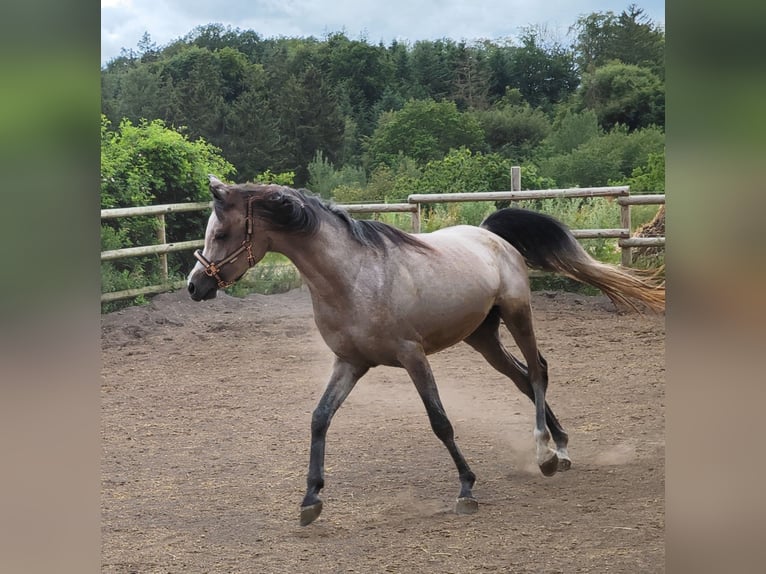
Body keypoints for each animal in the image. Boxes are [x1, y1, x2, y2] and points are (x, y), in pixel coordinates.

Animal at [188, 174, 664, 528]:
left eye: (222, 232)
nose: (196, 286)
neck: (353, 277)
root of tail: (489, 234)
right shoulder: (350, 363)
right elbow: (319, 418)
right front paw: (310, 500)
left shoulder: (412, 357)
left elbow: (440, 422)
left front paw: (467, 488)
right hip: (482, 337)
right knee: (522, 379)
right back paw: (559, 447)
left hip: (518, 314)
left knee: (538, 371)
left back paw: (548, 452)